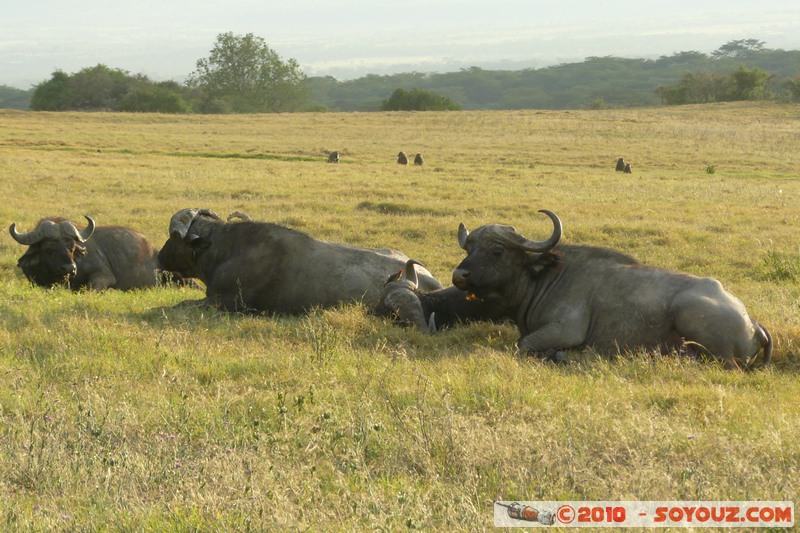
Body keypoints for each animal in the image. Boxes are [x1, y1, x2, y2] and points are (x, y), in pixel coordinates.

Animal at [452, 210, 772, 370]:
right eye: (469, 248)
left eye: (496, 252)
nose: (459, 275)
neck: (545, 278)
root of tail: (753, 322)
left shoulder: (565, 330)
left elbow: (523, 344)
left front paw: (558, 355)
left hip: (692, 316)